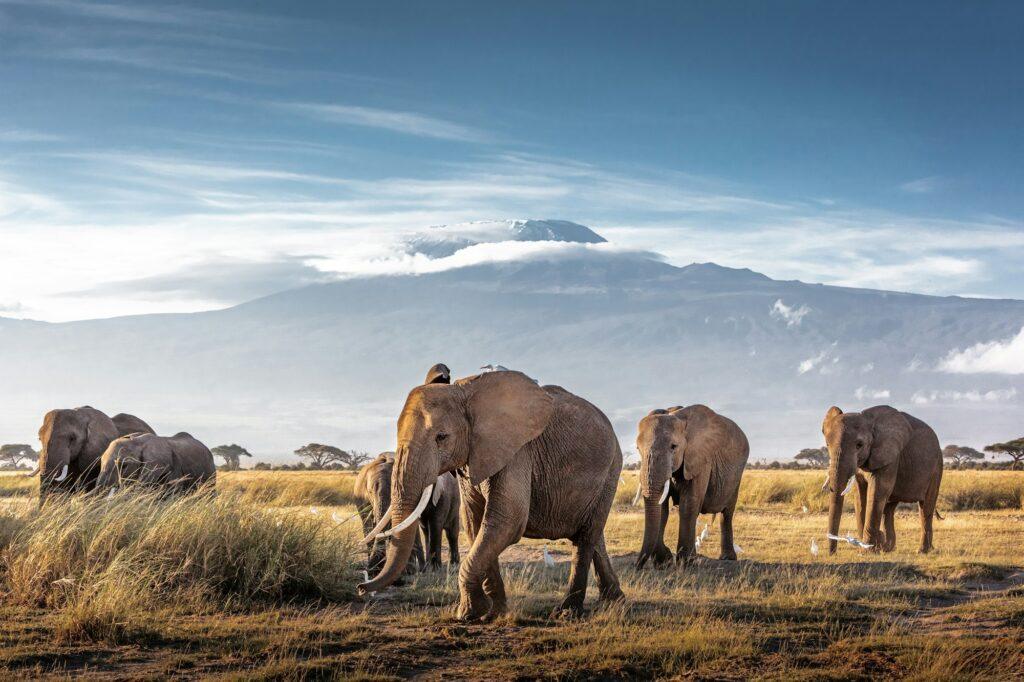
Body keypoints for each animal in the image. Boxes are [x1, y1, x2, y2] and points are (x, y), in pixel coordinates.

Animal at [358, 368, 622, 618]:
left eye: (441, 437)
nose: (361, 587)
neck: (464, 391)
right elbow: (476, 522)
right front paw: (493, 612)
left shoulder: (517, 452)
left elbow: (507, 520)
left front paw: (469, 613)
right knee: (593, 534)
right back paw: (614, 599)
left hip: (611, 469)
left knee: (585, 538)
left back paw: (568, 612)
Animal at [634, 403, 749, 569]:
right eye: (638, 448)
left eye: (673, 447)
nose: (637, 567)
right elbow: (662, 509)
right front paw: (664, 562)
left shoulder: (701, 459)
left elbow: (689, 505)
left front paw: (686, 562)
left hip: (737, 475)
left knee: (727, 513)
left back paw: (727, 558)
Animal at [823, 403, 942, 552]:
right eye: (827, 444)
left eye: (859, 445)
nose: (831, 553)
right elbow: (860, 496)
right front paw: (871, 547)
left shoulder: (890, 457)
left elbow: (877, 491)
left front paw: (867, 551)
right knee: (888, 509)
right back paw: (887, 548)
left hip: (936, 468)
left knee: (925, 508)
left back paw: (922, 551)